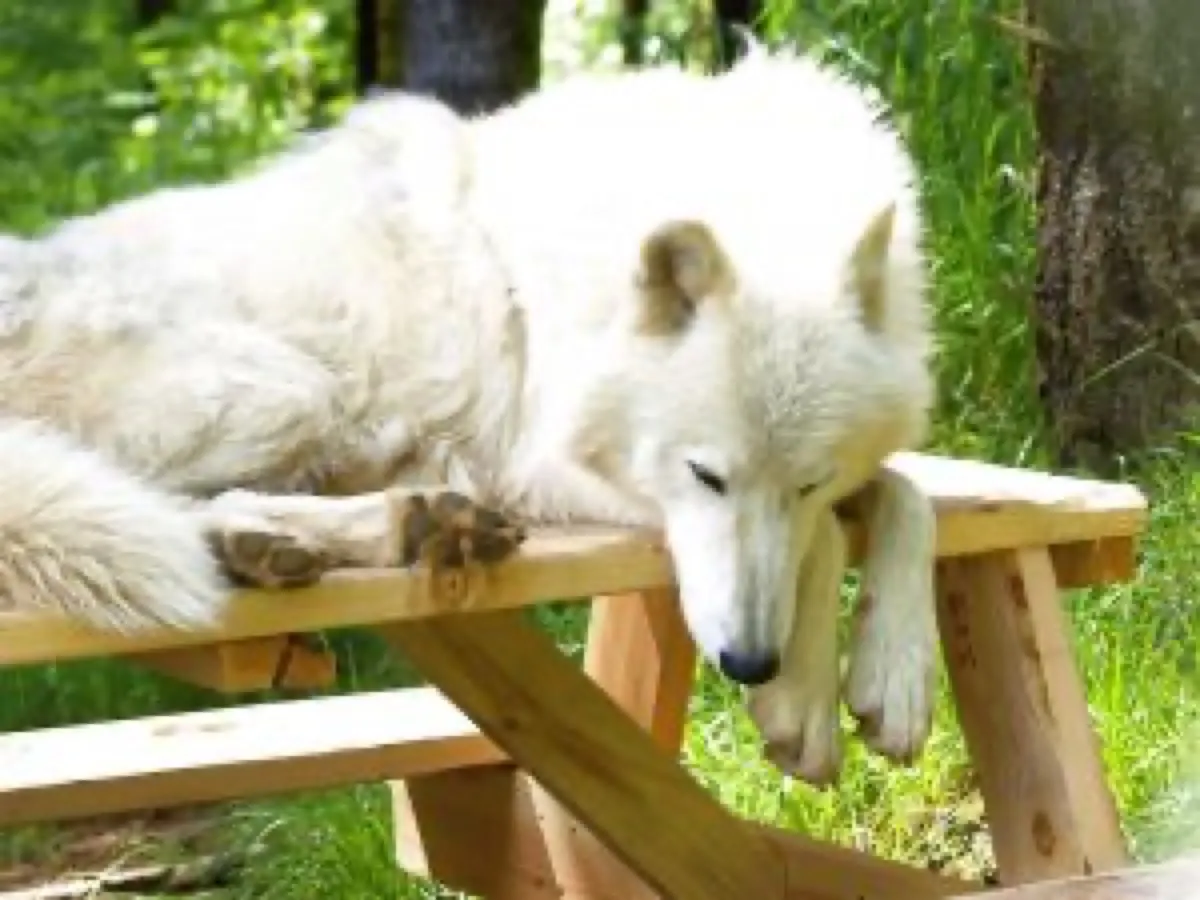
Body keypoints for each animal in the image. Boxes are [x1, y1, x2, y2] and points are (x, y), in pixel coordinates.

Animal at [0, 48, 937, 785]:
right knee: (168, 507)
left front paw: (894, 679)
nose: (750, 661)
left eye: (809, 479)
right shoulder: (540, 465)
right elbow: (832, 539)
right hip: (287, 389)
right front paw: (804, 704)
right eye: (706, 476)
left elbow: (900, 495)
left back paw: (373, 528)